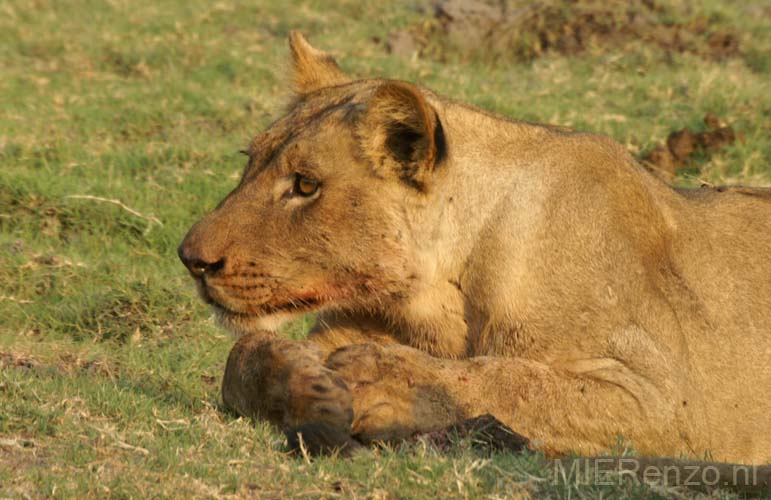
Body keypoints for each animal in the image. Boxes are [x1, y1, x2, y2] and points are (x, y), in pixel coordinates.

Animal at [178, 33, 771, 466]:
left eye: (305, 185)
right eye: (250, 161)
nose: (191, 260)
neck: (441, 294)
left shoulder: (672, 401)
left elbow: (515, 381)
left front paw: (381, 380)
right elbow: (242, 354)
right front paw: (310, 388)